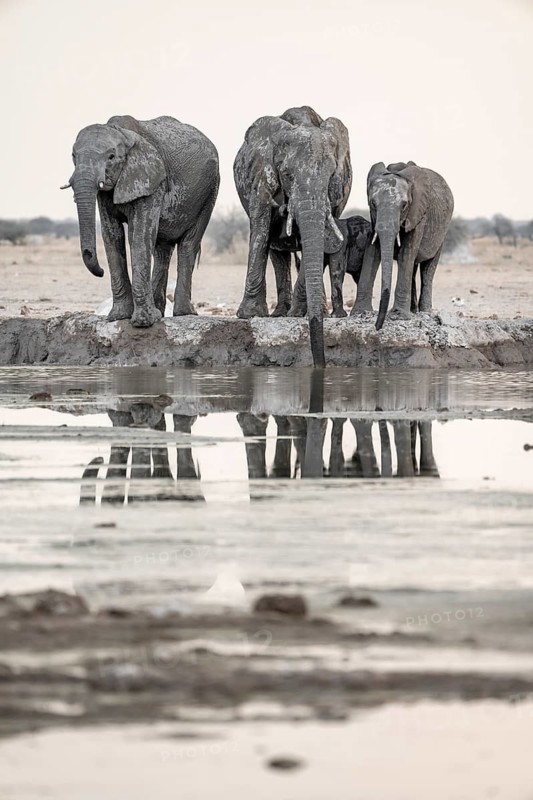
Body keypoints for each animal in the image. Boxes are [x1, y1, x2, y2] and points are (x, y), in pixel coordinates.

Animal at [63, 115, 219, 327]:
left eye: (111, 157)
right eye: (73, 155)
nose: (101, 271)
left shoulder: (152, 181)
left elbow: (139, 235)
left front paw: (143, 322)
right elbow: (112, 235)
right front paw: (118, 317)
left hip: (210, 190)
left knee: (188, 243)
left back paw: (184, 313)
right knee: (162, 249)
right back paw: (160, 311)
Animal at [233, 106, 352, 367]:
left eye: (331, 175)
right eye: (287, 174)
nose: (321, 366)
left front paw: (299, 314)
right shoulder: (261, 175)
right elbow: (260, 228)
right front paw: (249, 315)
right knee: (276, 252)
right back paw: (279, 313)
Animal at [352, 161, 454, 329]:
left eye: (404, 205)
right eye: (373, 203)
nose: (377, 326)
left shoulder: (419, 213)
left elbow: (406, 254)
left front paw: (398, 317)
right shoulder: (374, 218)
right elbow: (372, 252)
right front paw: (359, 313)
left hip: (442, 232)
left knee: (427, 269)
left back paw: (424, 312)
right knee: (413, 268)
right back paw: (413, 311)